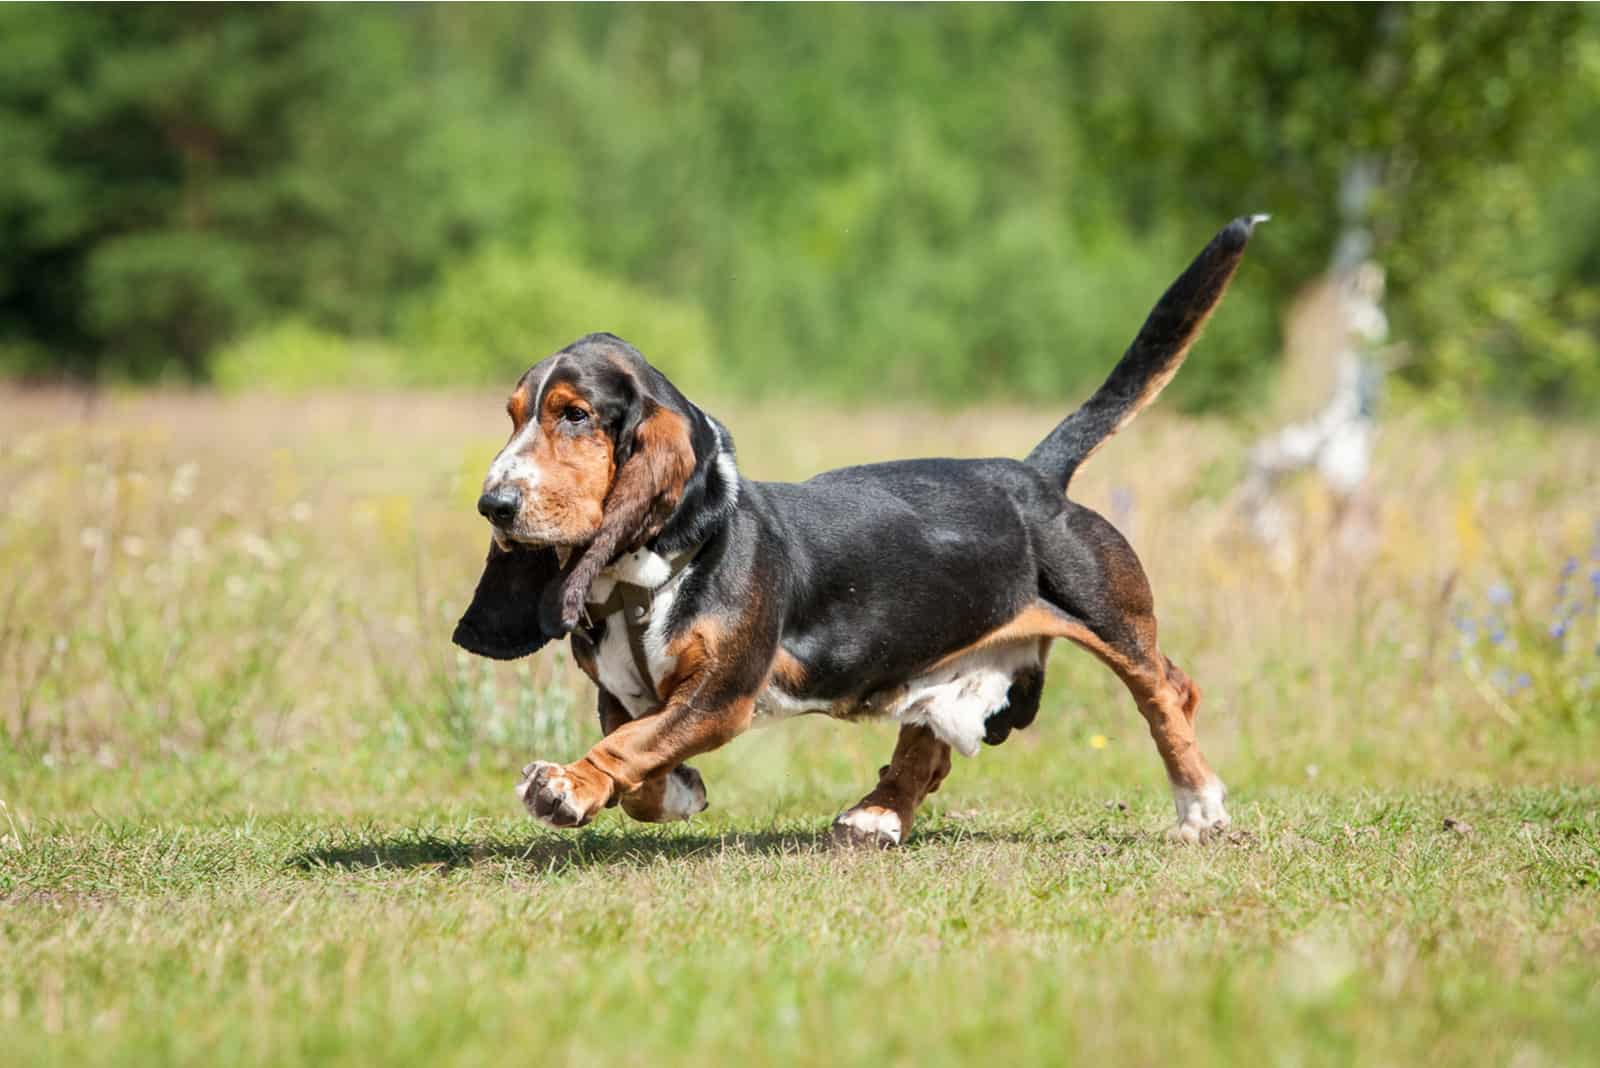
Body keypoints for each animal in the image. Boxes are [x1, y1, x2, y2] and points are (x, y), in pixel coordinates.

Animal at [451, 217, 1260, 844]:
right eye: (515, 415)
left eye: (574, 415)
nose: (494, 504)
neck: (649, 578)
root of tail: (1032, 476)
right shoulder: (624, 695)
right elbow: (641, 761)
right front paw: (679, 792)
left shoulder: (719, 696)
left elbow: (629, 746)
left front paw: (565, 785)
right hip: (945, 660)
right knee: (928, 745)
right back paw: (877, 815)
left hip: (1111, 617)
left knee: (1167, 692)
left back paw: (1200, 807)